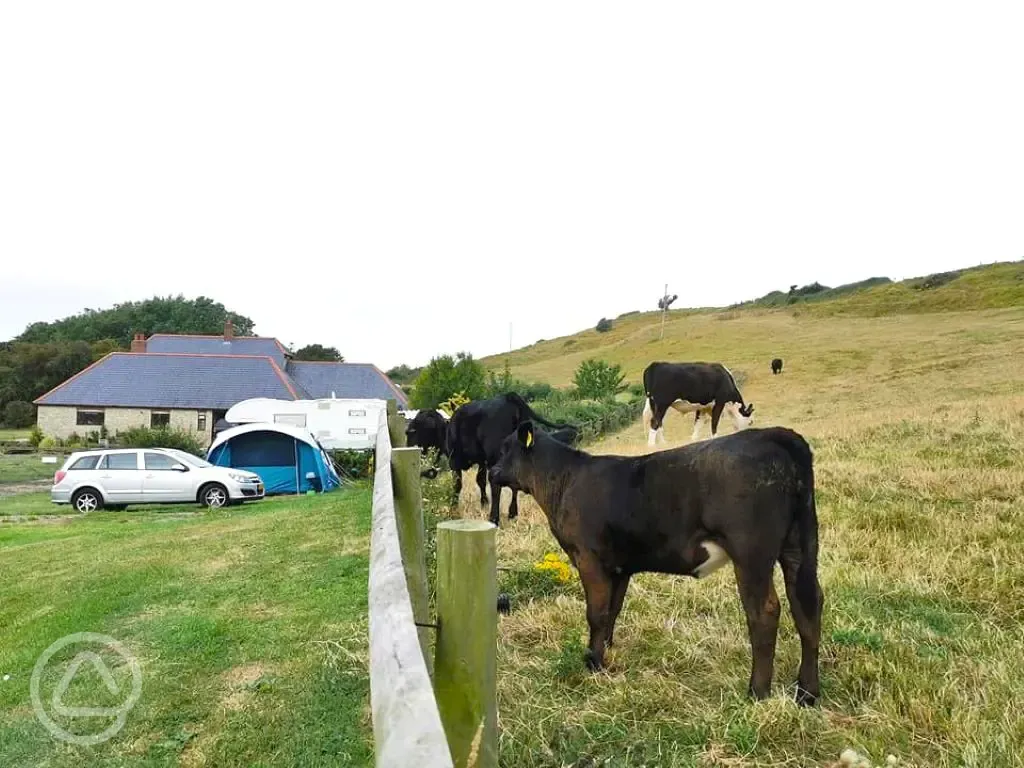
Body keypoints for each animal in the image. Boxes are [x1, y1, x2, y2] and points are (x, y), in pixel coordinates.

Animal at [446, 393, 581, 528]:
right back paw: (512, 513)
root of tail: (509, 396)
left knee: (496, 484)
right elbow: (480, 480)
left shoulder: (454, 461)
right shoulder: (481, 461)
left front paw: (453, 510)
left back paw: (494, 519)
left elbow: (457, 485)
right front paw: (483, 503)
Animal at [489, 423, 823, 708]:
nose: (491, 471)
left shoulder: (589, 558)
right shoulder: (620, 567)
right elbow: (612, 610)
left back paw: (757, 692)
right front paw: (606, 651)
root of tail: (774, 435)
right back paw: (807, 693)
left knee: (764, 612)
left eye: (505, 448)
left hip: (751, 554)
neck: (565, 479)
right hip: (800, 544)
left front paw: (593, 663)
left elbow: (596, 613)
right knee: (807, 605)